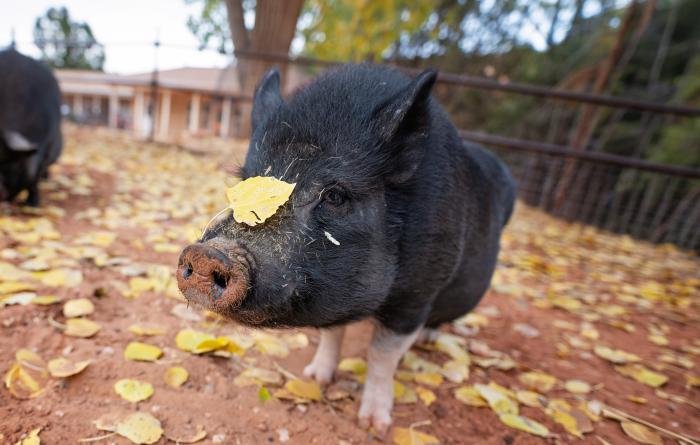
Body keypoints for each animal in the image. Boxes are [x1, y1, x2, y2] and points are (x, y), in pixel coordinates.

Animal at [177, 64, 516, 433]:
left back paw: (428, 340)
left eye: (335, 195)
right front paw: (314, 378)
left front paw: (375, 425)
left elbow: (383, 354)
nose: (209, 253)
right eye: (245, 182)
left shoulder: (415, 297)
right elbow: (332, 334)